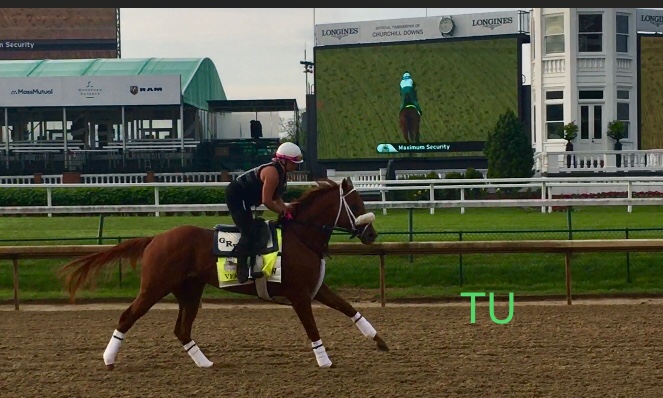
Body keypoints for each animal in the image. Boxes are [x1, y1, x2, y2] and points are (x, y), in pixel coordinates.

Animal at [58, 178, 390, 370]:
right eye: (357, 203)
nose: (372, 234)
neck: (302, 236)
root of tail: (155, 238)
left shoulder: (315, 288)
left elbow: (348, 308)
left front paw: (379, 340)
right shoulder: (298, 295)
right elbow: (312, 328)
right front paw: (324, 360)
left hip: (190, 290)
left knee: (182, 329)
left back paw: (204, 363)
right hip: (154, 286)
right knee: (128, 316)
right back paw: (109, 359)